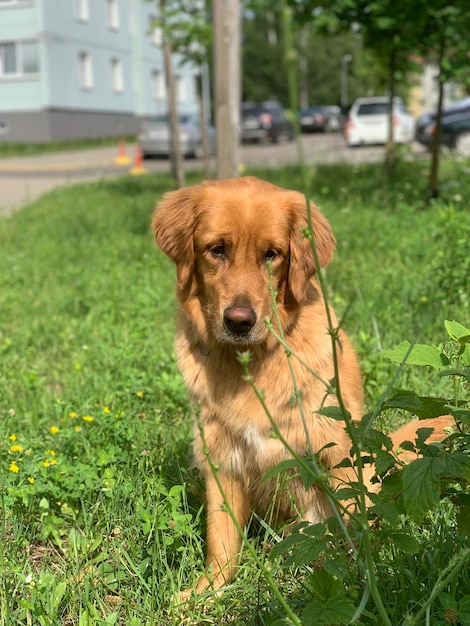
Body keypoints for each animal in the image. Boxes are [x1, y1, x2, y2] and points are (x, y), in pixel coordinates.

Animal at [152, 174, 454, 596]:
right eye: (216, 250)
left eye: (272, 254)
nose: (239, 321)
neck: (252, 363)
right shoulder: (221, 454)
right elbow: (221, 539)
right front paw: (204, 592)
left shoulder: (335, 449)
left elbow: (348, 531)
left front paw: (357, 587)